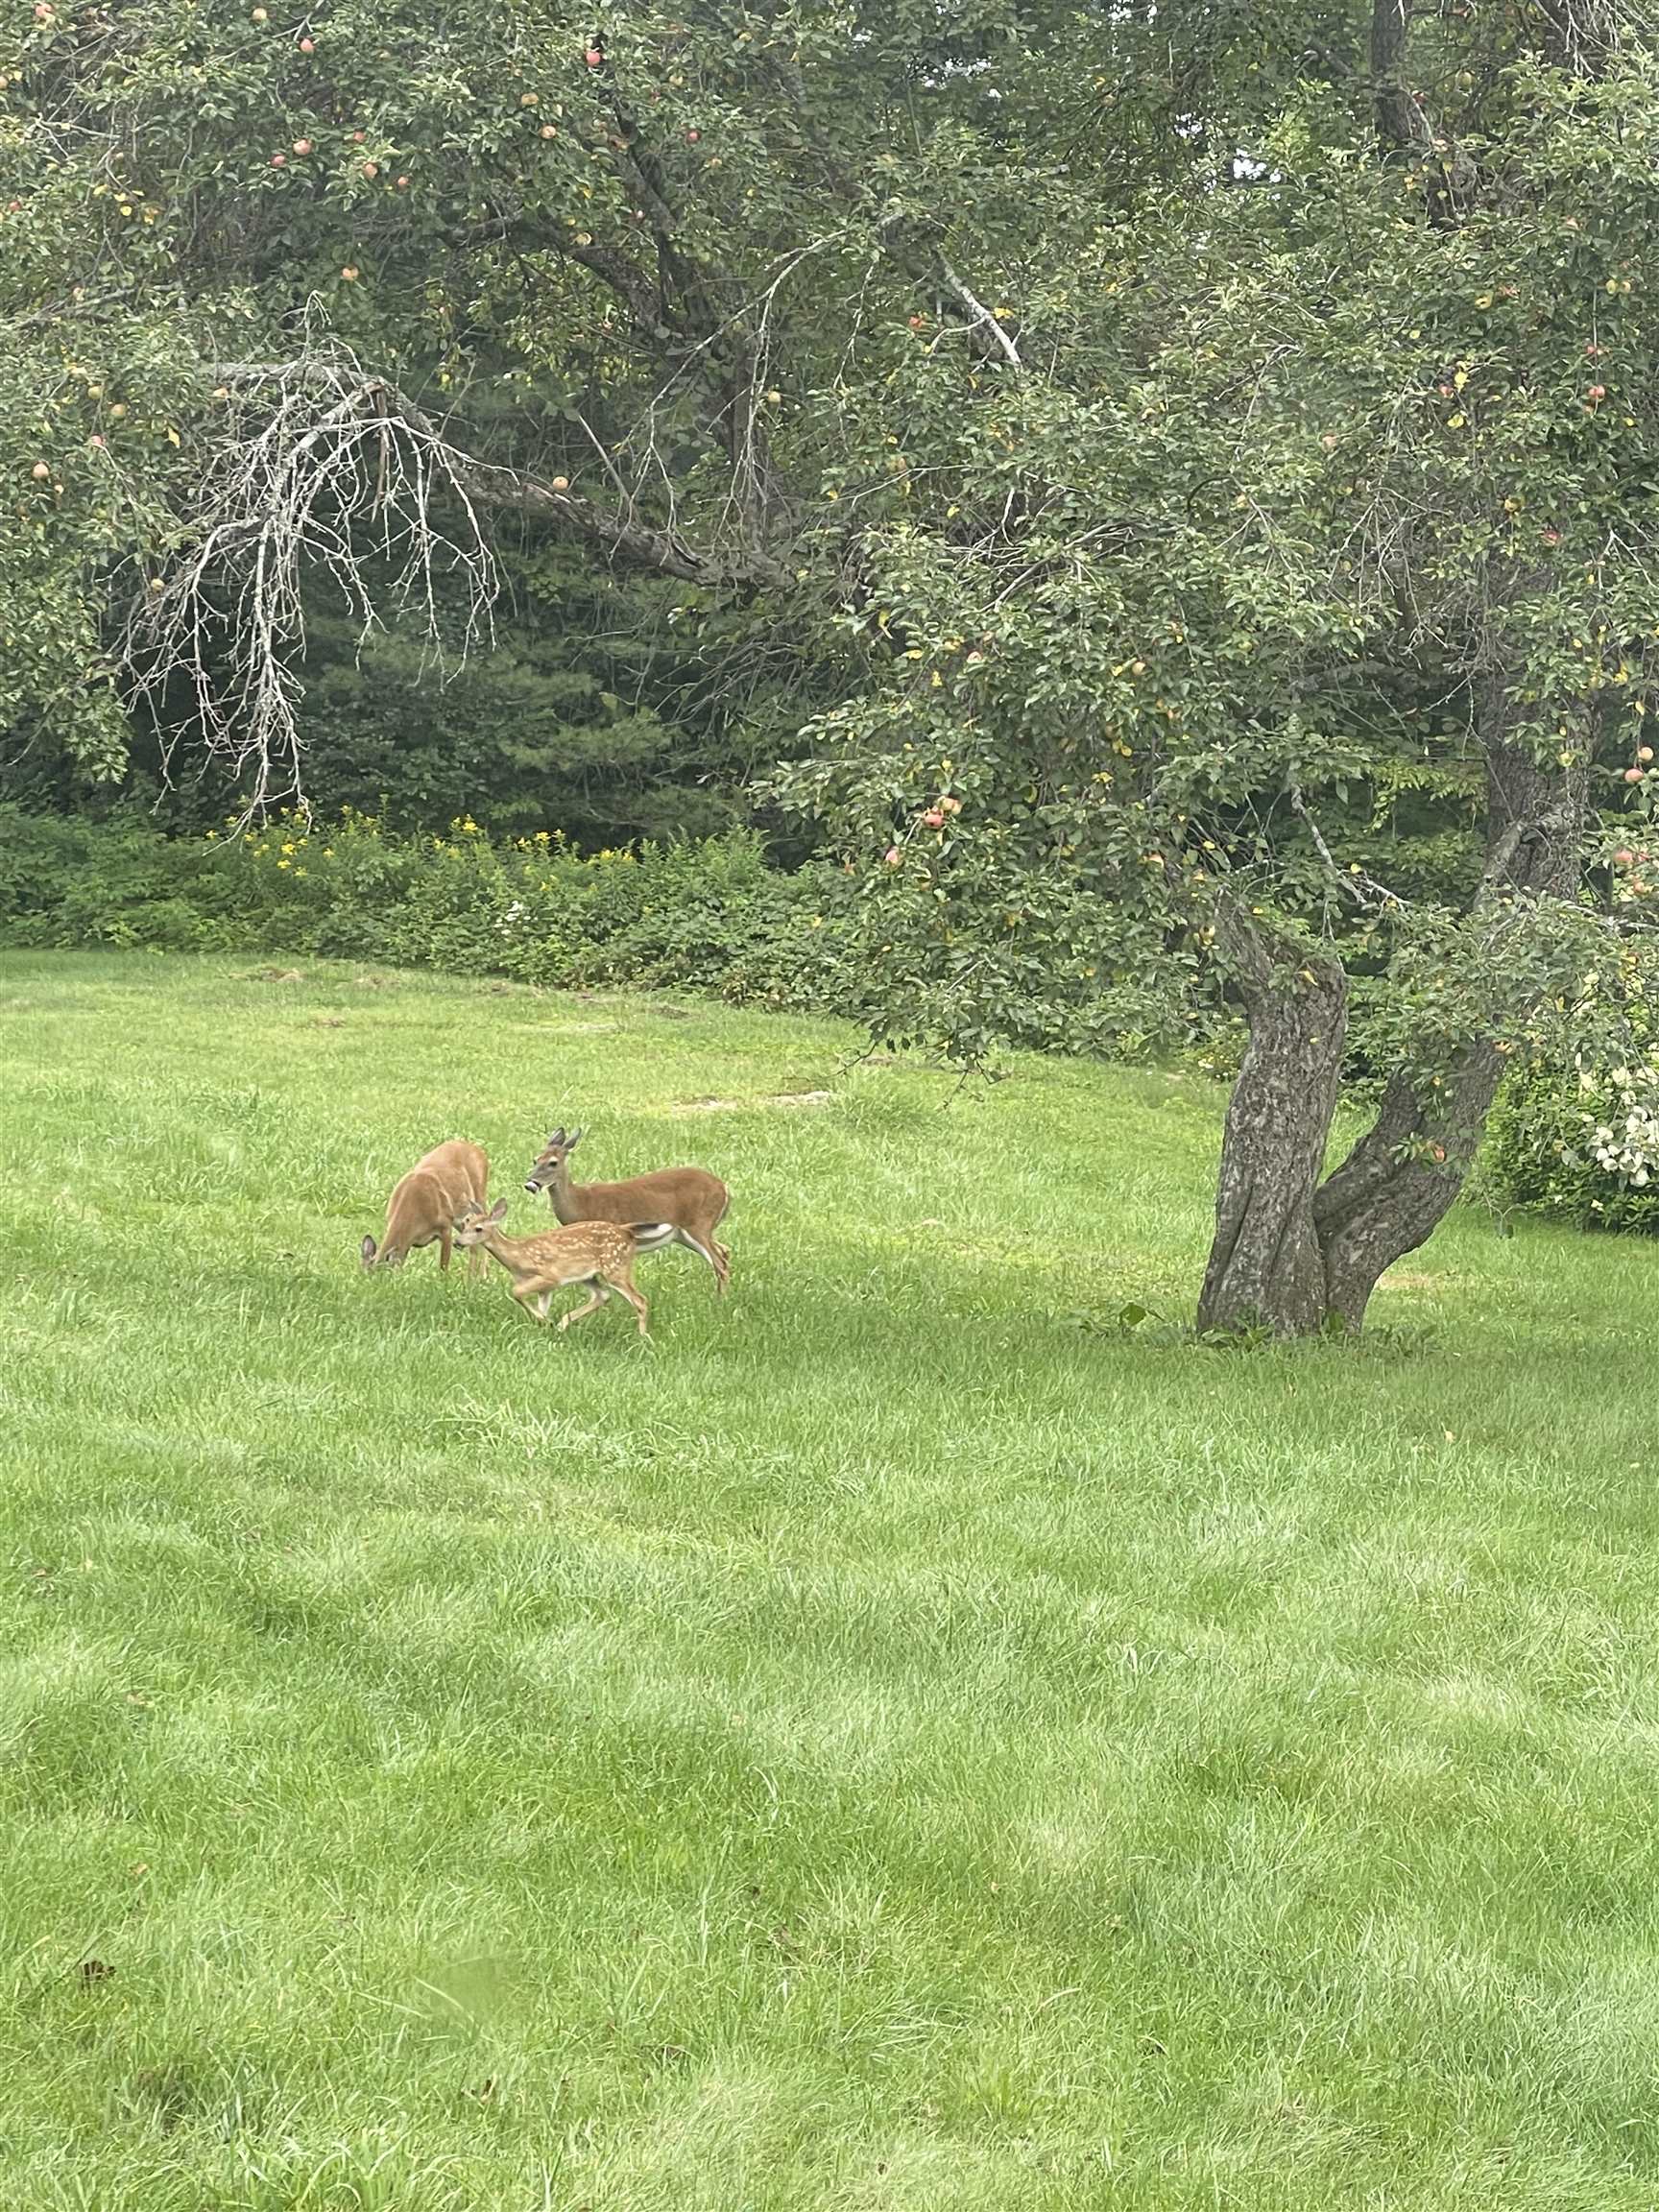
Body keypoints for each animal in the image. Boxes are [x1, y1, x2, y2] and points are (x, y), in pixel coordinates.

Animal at [453, 1199, 676, 1335]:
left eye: (478, 1228)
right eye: (466, 1222)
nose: (457, 1242)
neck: (518, 1256)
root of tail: (626, 1231)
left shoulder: (549, 1276)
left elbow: (515, 1291)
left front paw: (544, 1321)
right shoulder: (545, 1289)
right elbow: (540, 1305)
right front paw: (544, 1323)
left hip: (616, 1267)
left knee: (640, 1300)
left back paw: (642, 1337)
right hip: (589, 1275)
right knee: (602, 1295)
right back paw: (562, 1324)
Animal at [523, 1127, 731, 1294]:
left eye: (553, 1163)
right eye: (534, 1160)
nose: (530, 1184)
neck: (581, 1203)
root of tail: (724, 1188)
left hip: (700, 1223)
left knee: (719, 1261)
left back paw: (720, 1301)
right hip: (685, 1233)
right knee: (724, 1251)